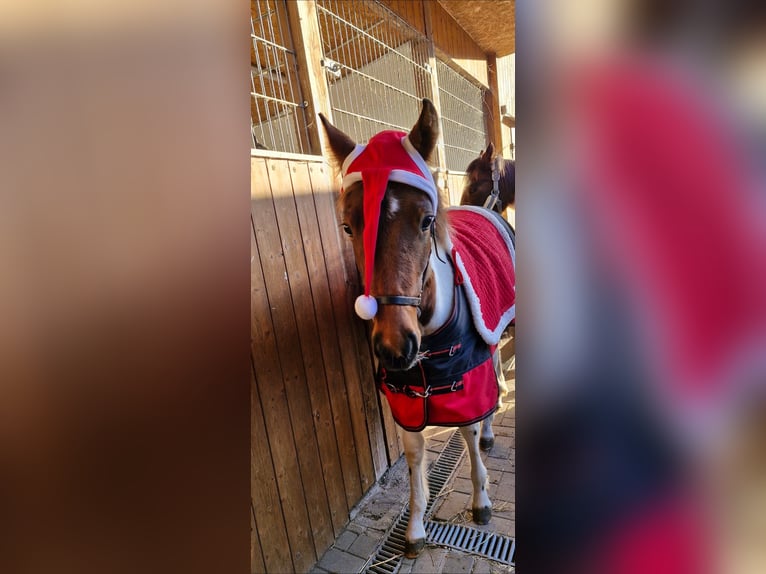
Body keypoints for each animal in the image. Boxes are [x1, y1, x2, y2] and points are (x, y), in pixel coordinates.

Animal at [319, 99, 515, 558]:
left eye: (427, 221)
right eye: (348, 226)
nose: (396, 347)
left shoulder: (463, 381)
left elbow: (466, 431)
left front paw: (481, 503)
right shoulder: (405, 399)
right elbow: (414, 459)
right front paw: (415, 528)